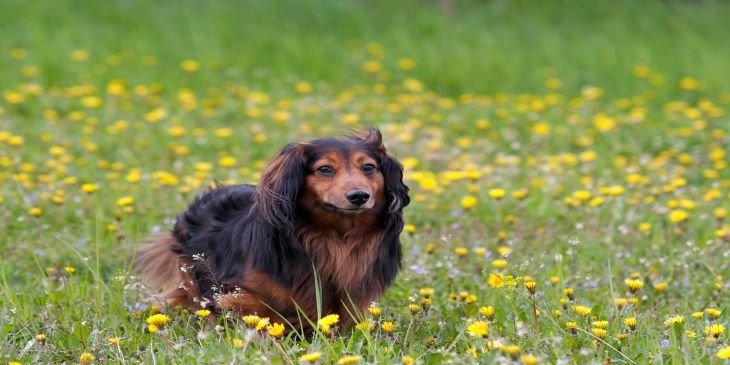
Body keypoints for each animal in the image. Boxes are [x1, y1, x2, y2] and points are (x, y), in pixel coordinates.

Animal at [135, 127, 410, 330]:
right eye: (325, 169)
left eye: (369, 167)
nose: (359, 196)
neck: (335, 237)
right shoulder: (237, 291)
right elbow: (260, 311)